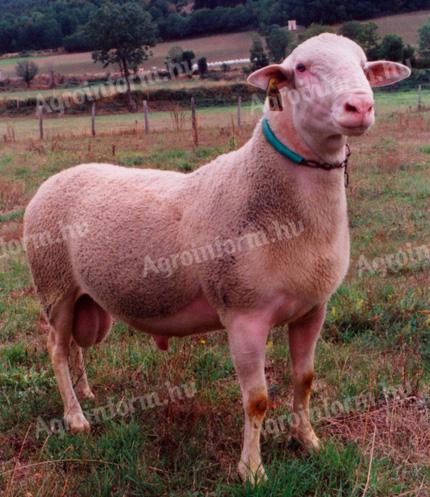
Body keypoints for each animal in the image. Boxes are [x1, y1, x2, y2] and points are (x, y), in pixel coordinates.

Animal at [23, 33, 410, 482]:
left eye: (364, 66)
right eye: (301, 68)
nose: (360, 107)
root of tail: (52, 180)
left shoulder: (314, 308)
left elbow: (305, 379)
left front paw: (308, 441)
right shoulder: (244, 315)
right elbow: (257, 400)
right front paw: (252, 470)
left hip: (79, 292)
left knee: (72, 345)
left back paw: (85, 392)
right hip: (53, 283)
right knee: (56, 348)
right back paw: (76, 418)